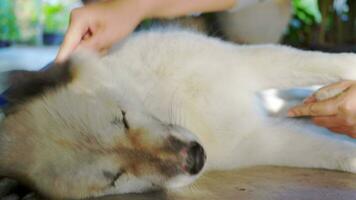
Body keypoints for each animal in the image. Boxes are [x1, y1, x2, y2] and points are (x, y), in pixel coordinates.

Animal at [0, 28, 356, 199]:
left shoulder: (241, 62)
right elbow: (332, 151)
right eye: (116, 178)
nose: (196, 158)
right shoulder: (262, 142)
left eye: (122, 118)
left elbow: (315, 62)